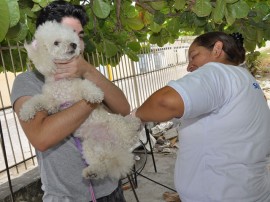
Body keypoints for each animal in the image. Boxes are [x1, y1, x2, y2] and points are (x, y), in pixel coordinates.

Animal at [20, 20, 139, 178]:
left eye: (72, 38)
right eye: (56, 42)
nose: (74, 45)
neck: (63, 82)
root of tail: (113, 146)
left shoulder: (78, 84)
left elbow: (86, 86)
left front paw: (95, 95)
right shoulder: (51, 102)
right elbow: (35, 100)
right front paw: (26, 112)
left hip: (116, 125)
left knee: (129, 133)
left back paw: (134, 123)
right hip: (89, 147)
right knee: (102, 164)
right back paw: (92, 171)